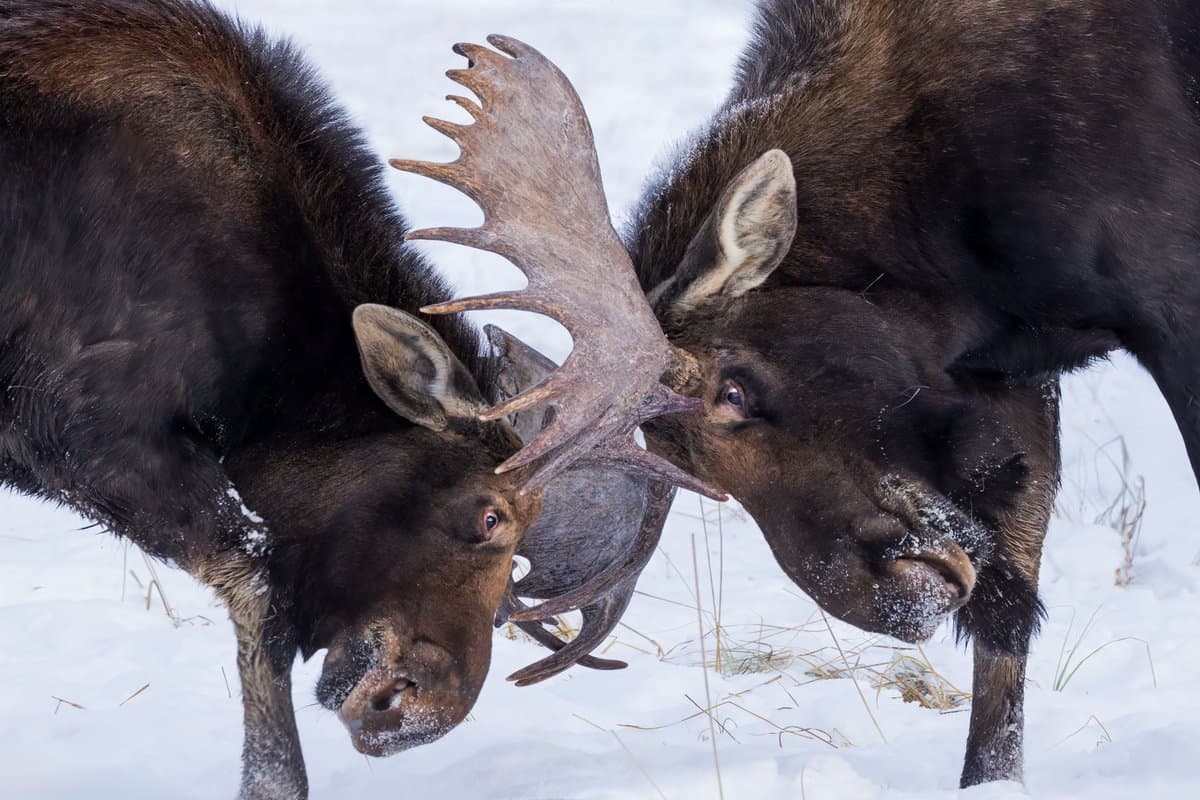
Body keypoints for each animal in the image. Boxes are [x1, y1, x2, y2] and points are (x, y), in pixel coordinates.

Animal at [398, 0, 1200, 788]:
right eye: (690, 467)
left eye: (731, 391)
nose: (887, 595)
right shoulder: (1007, 374)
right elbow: (1004, 645)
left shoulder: (1168, 310)